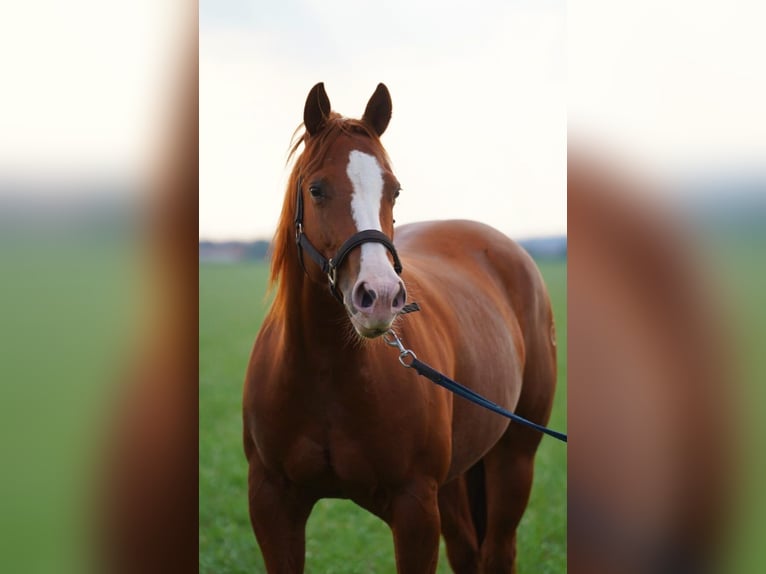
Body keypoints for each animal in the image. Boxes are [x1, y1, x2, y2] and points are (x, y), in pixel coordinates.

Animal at [242, 83, 560, 572]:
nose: (380, 296)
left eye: (394, 189)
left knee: (498, 550)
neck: (325, 372)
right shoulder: (271, 504)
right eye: (316, 189)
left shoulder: (414, 509)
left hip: (514, 459)